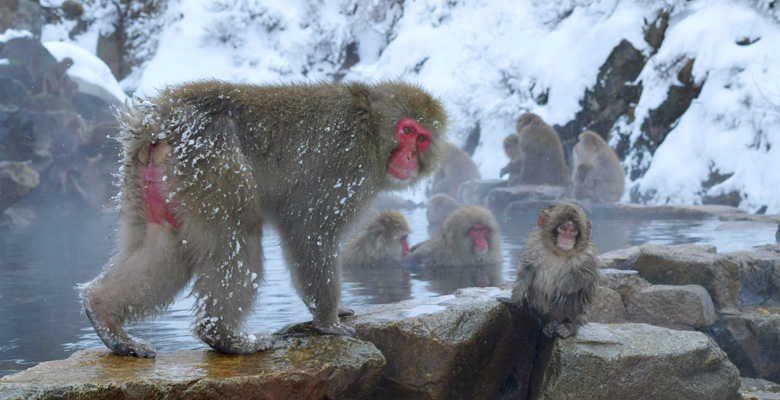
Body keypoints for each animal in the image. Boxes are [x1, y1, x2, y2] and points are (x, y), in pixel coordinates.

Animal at [79, 79, 448, 358]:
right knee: (237, 233)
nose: (411, 157)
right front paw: (327, 320)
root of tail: (165, 118)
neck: (370, 128)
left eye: (423, 138)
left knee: (165, 246)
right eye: (407, 130)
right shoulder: (346, 168)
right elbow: (309, 230)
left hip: (154, 181)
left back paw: (103, 314)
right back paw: (224, 336)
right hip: (212, 163)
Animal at [502, 203, 600, 338]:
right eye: (563, 227)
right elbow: (528, 269)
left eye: (573, 230)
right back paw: (545, 325)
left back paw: (569, 326)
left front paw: (563, 287)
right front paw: (515, 298)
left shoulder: (587, 253)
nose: (567, 238)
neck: (561, 252)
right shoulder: (535, 246)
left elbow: (587, 275)